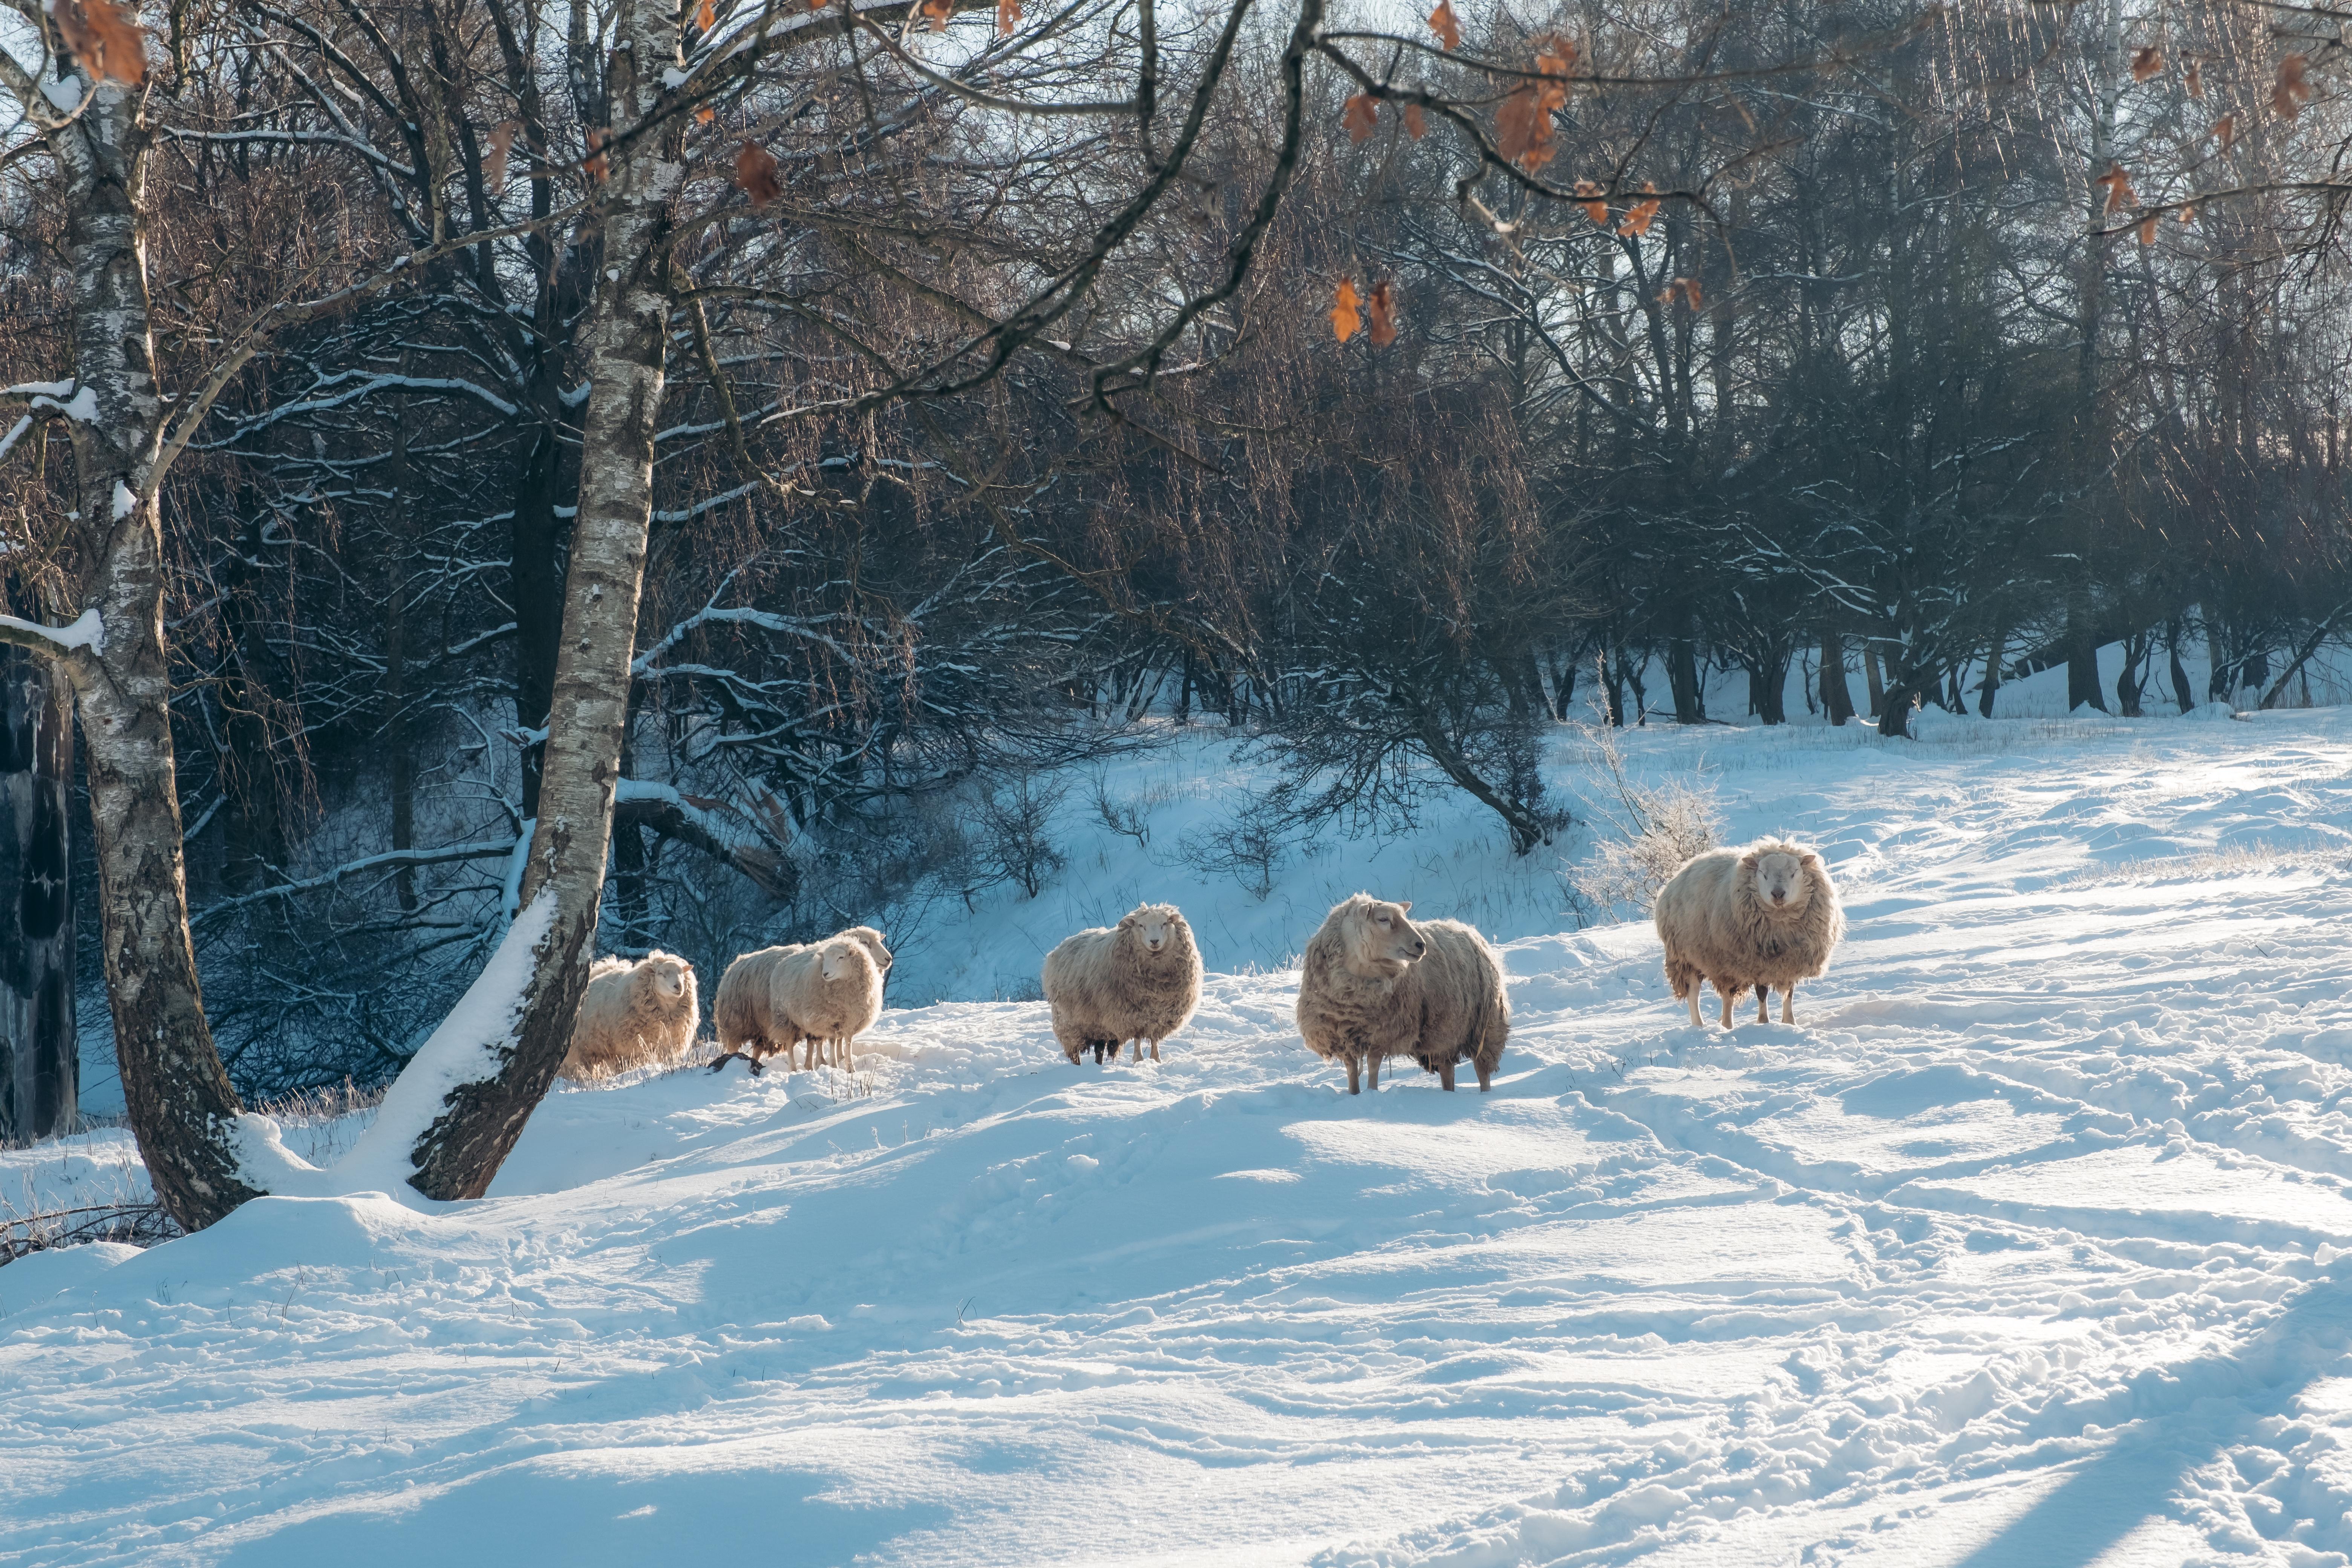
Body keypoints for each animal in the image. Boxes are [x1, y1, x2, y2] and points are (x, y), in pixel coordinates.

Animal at [557, 949, 696, 1086]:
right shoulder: (629, 1048)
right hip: (580, 1048)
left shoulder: (667, 1045)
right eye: (661, 973)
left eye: (682, 973)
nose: (678, 987)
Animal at [1040, 907, 1204, 1067]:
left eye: (1164, 924)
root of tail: (1059, 948)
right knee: (1075, 1052)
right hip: (1071, 1023)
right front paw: (1138, 1060)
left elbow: (1154, 1040)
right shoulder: (1132, 1015)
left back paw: (1098, 1065)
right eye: (1141, 925)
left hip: (1098, 1024)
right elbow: (1138, 1038)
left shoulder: (1158, 1016)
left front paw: (1156, 1059)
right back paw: (1078, 1067)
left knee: (1099, 1049)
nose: (1155, 941)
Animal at [1298, 888, 1514, 1100]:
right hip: (1444, 1030)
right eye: (1383, 919)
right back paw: (1448, 1094)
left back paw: (1484, 1095)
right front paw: (1353, 1094)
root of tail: (1466, 928)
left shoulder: (1383, 1032)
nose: (1421, 945)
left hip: (1485, 1025)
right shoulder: (1342, 1035)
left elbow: (1374, 1065)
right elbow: (1351, 1069)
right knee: (1447, 1068)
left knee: (1482, 1069)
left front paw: (1371, 1092)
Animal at [1646, 832, 1844, 1029]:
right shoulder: (1755, 962)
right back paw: (1712, 1026)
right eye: (1763, 874)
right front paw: (1764, 1022)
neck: (1781, 919)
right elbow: (1762, 993)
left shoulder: (1791, 962)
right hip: (1693, 958)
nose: (1778, 895)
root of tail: (1681, 871)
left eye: (1794, 872)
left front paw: (1790, 1023)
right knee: (1700, 994)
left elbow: (1789, 994)